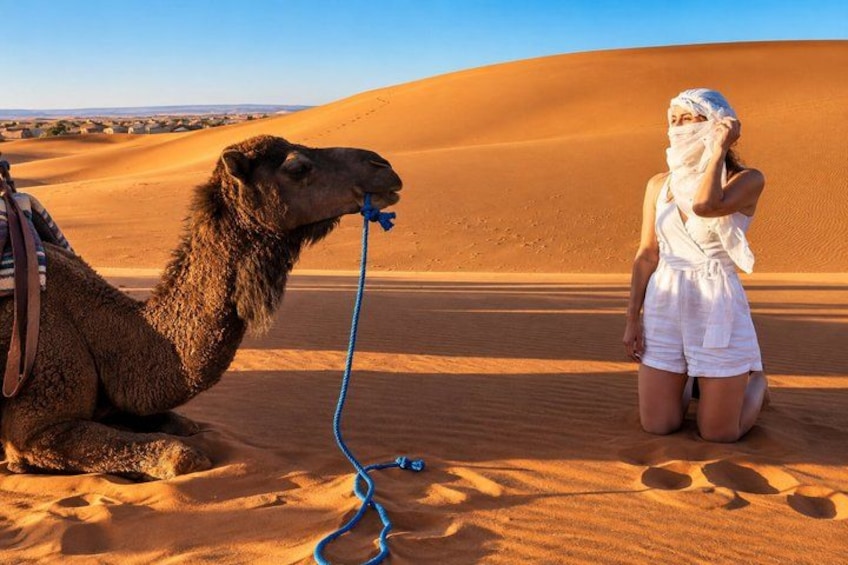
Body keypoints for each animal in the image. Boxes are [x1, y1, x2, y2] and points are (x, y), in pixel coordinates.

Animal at [0, 135, 402, 480]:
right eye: (298, 167)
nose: (383, 166)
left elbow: (186, 426)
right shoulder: (38, 428)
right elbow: (182, 456)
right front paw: (16, 466)